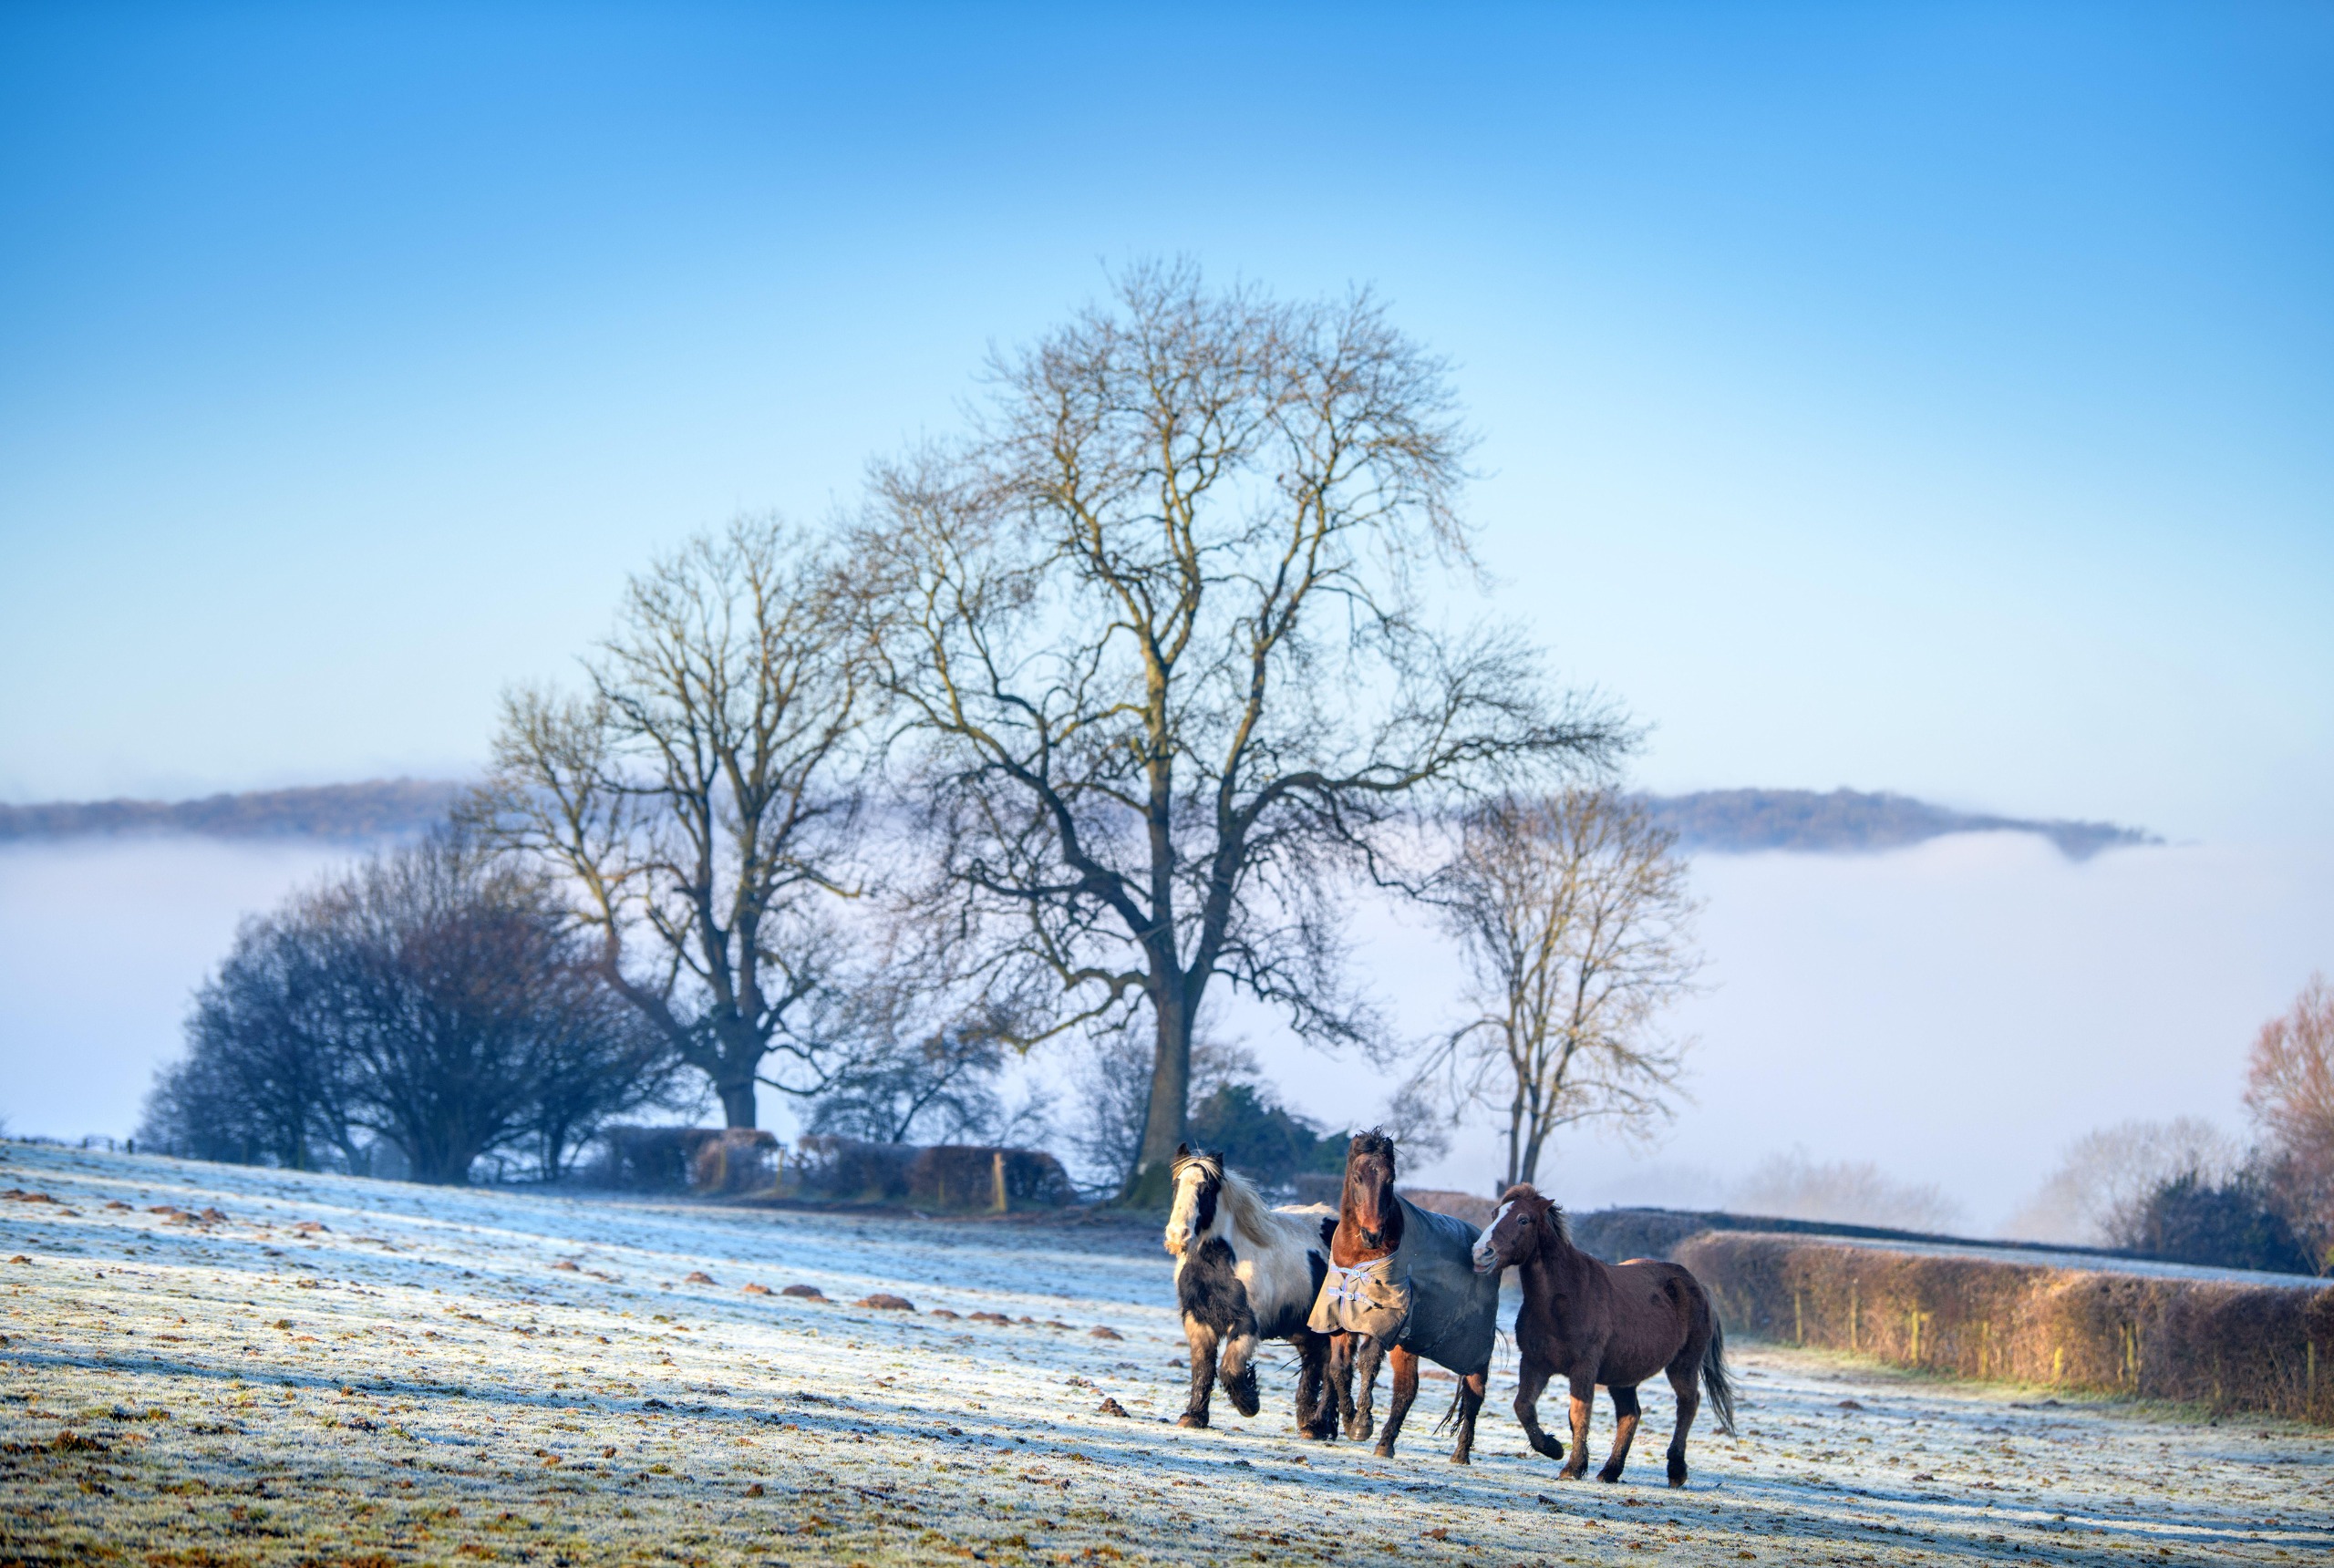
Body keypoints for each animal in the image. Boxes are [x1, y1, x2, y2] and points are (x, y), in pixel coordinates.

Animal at [1164, 1144, 1341, 1436]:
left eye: (1206, 1188)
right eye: (1176, 1184)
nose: (1178, 1235)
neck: (1217, 1263)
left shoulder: (1247, 1323)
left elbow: (1230, 1369)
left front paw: (1250, 1403)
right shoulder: (1197, 1320)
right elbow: (1202, 1368)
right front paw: (1193, 1416)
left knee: (1333, 1370)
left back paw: (1318, 1425)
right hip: (1305, 1330)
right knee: (1315, 1363)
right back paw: (1308, 1422)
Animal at [1314, 1130, 1503, 1462]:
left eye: (1390, 1179)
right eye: (1358, 1177)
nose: (1373, 1234)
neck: (1358, 1258)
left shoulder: (1383, 1318)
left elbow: (1367, 1362)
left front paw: (1361, 1424)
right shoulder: (1339, 1318)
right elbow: (1339, 1368)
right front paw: (1350, 1421)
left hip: (1474, 1350)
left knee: (1474, 1394)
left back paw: (1461, 1454)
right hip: (1409, 1344)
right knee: (1407, 1389)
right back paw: (1385, 1443)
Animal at [1472, 1183, 1737, 1485]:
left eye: (1523, 1219)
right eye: (1495, 1214)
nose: (1481, 1253)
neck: (1563, 1298)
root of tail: (1697, 1286)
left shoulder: (1584, 1368)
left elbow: (1578, 1414)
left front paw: (1573, 1467)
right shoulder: (1534, 1363)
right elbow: (1523, 1406)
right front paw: (1553, 1448)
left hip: (1684, 1365)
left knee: (1687, 1404)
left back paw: (1676, 1471)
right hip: (1624, 1376)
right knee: (1630, 1415)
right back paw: (1610, 1471)